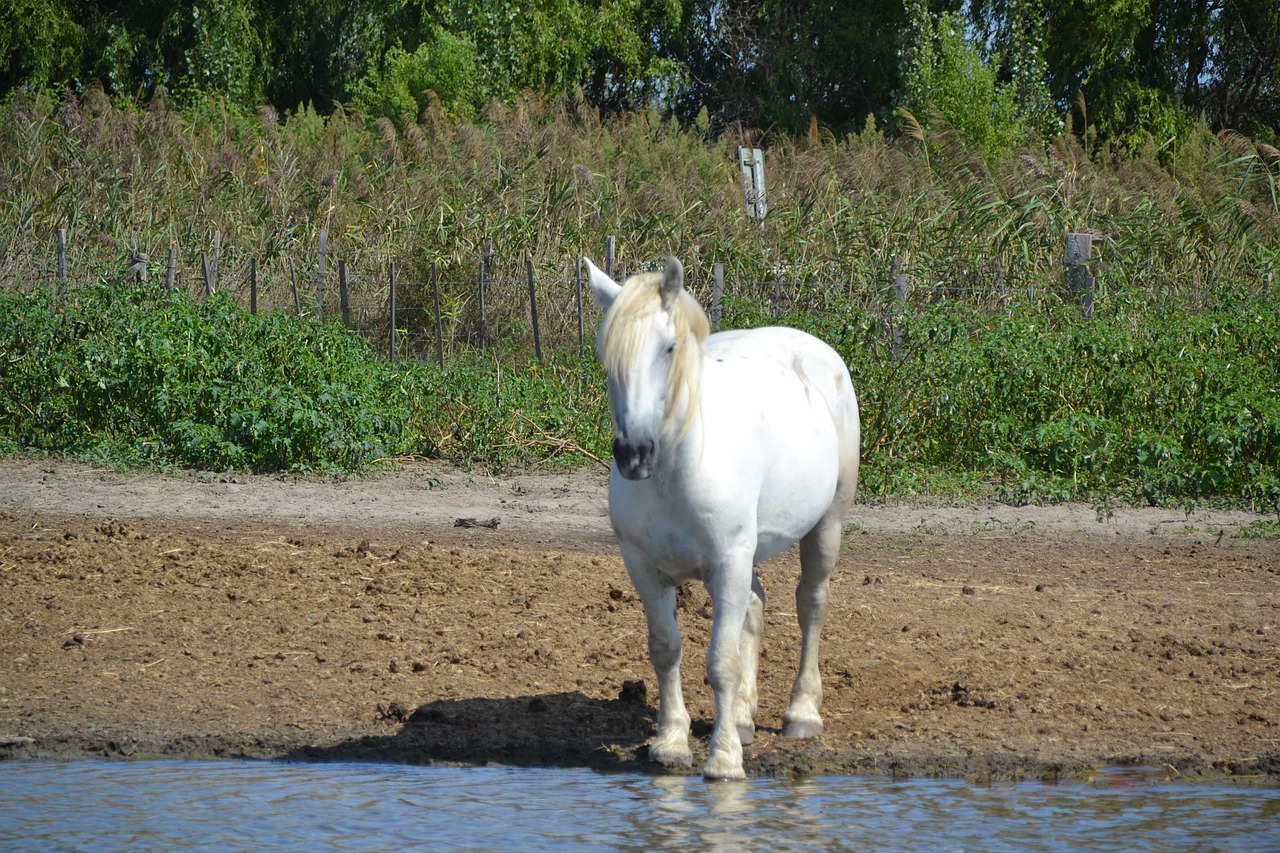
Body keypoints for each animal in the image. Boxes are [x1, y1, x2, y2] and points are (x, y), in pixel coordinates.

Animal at [586, 252, 855, 778]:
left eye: (669, 348)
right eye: (609, 355)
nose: (634, 455)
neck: (674, 473)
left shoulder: (728, 561)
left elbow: (720, 662)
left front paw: (725, 760)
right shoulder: (643, 566)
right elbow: (666, 649)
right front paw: (671, 743)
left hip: (825, 524)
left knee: (811, 603)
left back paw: (801, 713)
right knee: (755, 604)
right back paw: (745, 718)